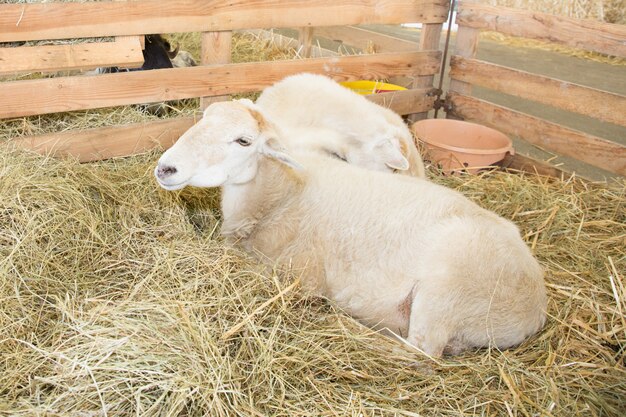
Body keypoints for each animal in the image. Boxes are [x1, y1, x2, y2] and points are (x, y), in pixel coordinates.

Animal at [154, 99, 544, 356]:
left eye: (243, 141)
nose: (166, 168)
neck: (286, 193)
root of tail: (536, 307)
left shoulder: (296, 274)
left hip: (446, 293)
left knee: (420, 353)